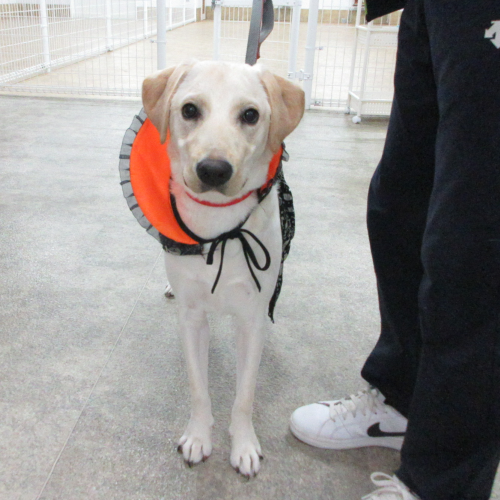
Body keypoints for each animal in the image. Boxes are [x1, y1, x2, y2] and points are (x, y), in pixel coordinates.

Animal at [141, 60, 304, 477]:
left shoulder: (250, 318)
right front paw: (198, 437)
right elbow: (199, 390)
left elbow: (244, 395)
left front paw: (244, 446)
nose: (213, 170)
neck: (219, 227)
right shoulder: (192, 317)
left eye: (250, 115)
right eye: (189, 110)